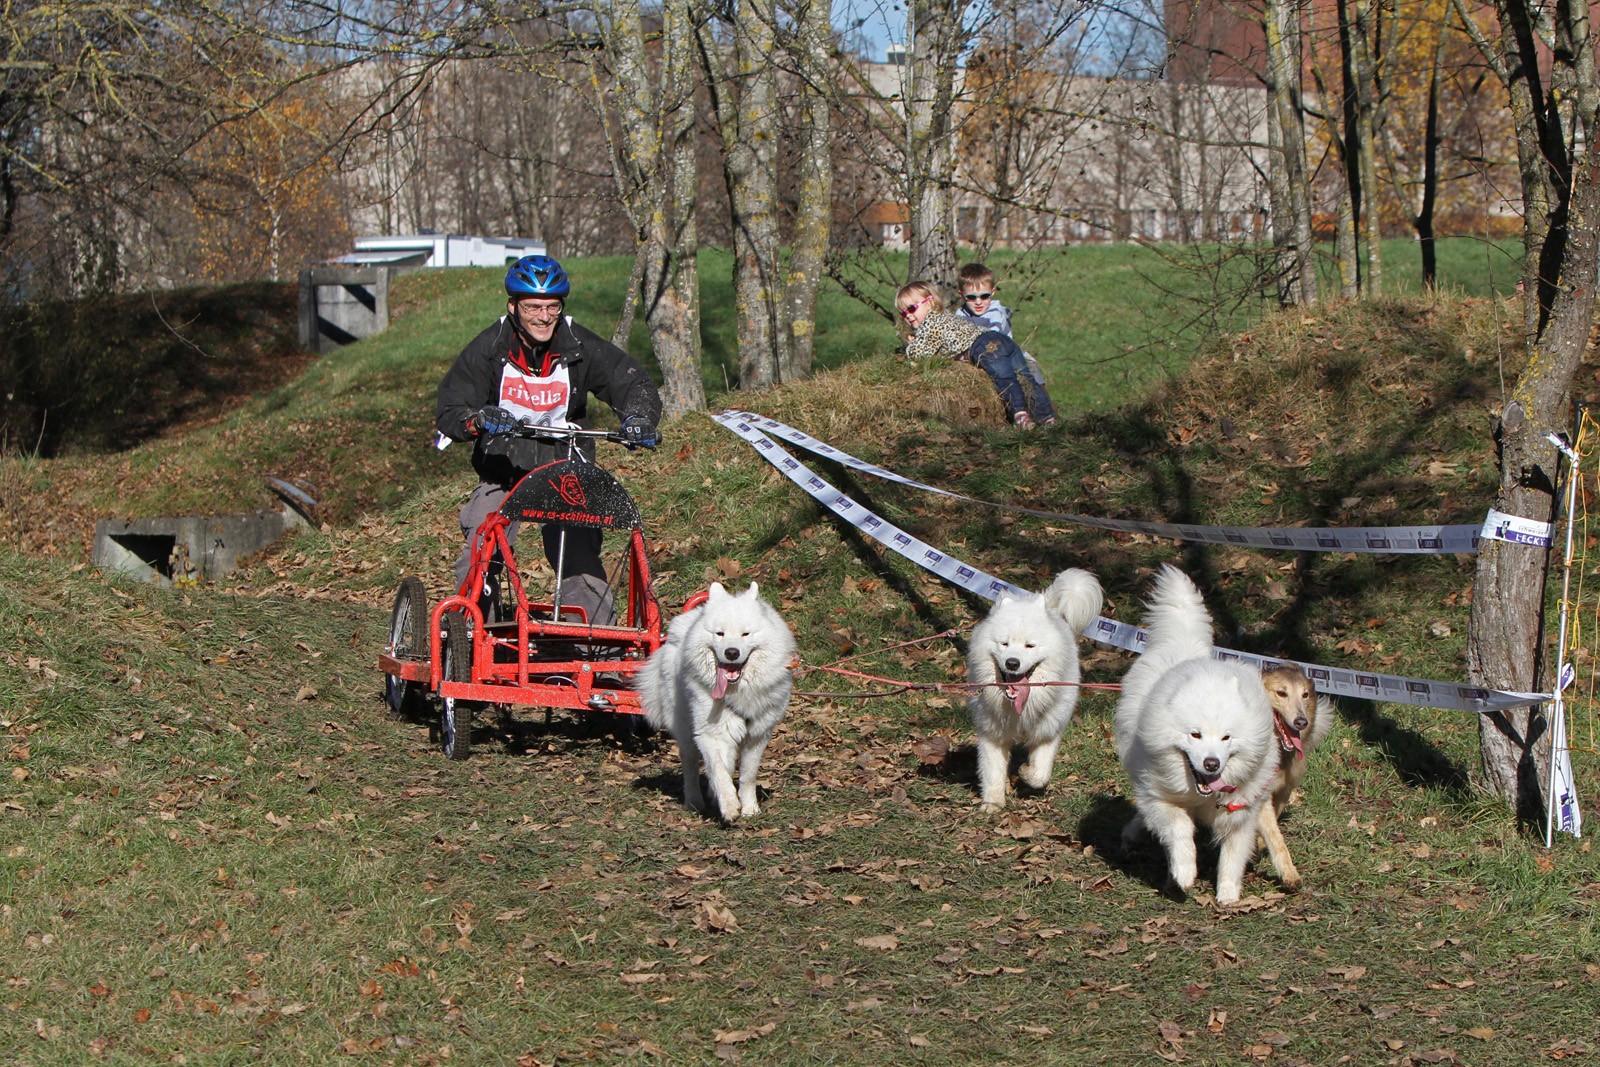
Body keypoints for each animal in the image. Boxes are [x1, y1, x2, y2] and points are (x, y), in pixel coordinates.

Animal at [630, 585, 793, 825]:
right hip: (685, 728)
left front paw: (749, 808)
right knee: (690, 765)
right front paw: (729, 805)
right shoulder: (711, 734)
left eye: (745, 634)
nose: (732, 652)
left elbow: (747, 776)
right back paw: (694, 801)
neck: (737, 693)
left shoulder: (757, 735)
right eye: (720, 633)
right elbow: (719, 771)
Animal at [966, 572, 1107, 812]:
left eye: (1030, 646)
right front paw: (992, 804)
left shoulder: (1048, 730)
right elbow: (992, 772)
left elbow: (1040, 774)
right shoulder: (992, 733)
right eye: (1004, 644)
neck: (1021, 708)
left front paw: (1025, 773)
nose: (1012, 663)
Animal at [1120, 563, 1280, 908]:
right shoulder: (1162, 799)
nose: (1211, 764)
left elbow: (1233, 856)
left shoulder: (1241, 814)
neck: (1200, 795)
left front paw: (1228, 895)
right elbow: (1180, 831)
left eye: (1226, 739)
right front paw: (1184, 873)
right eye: (1195, 735)